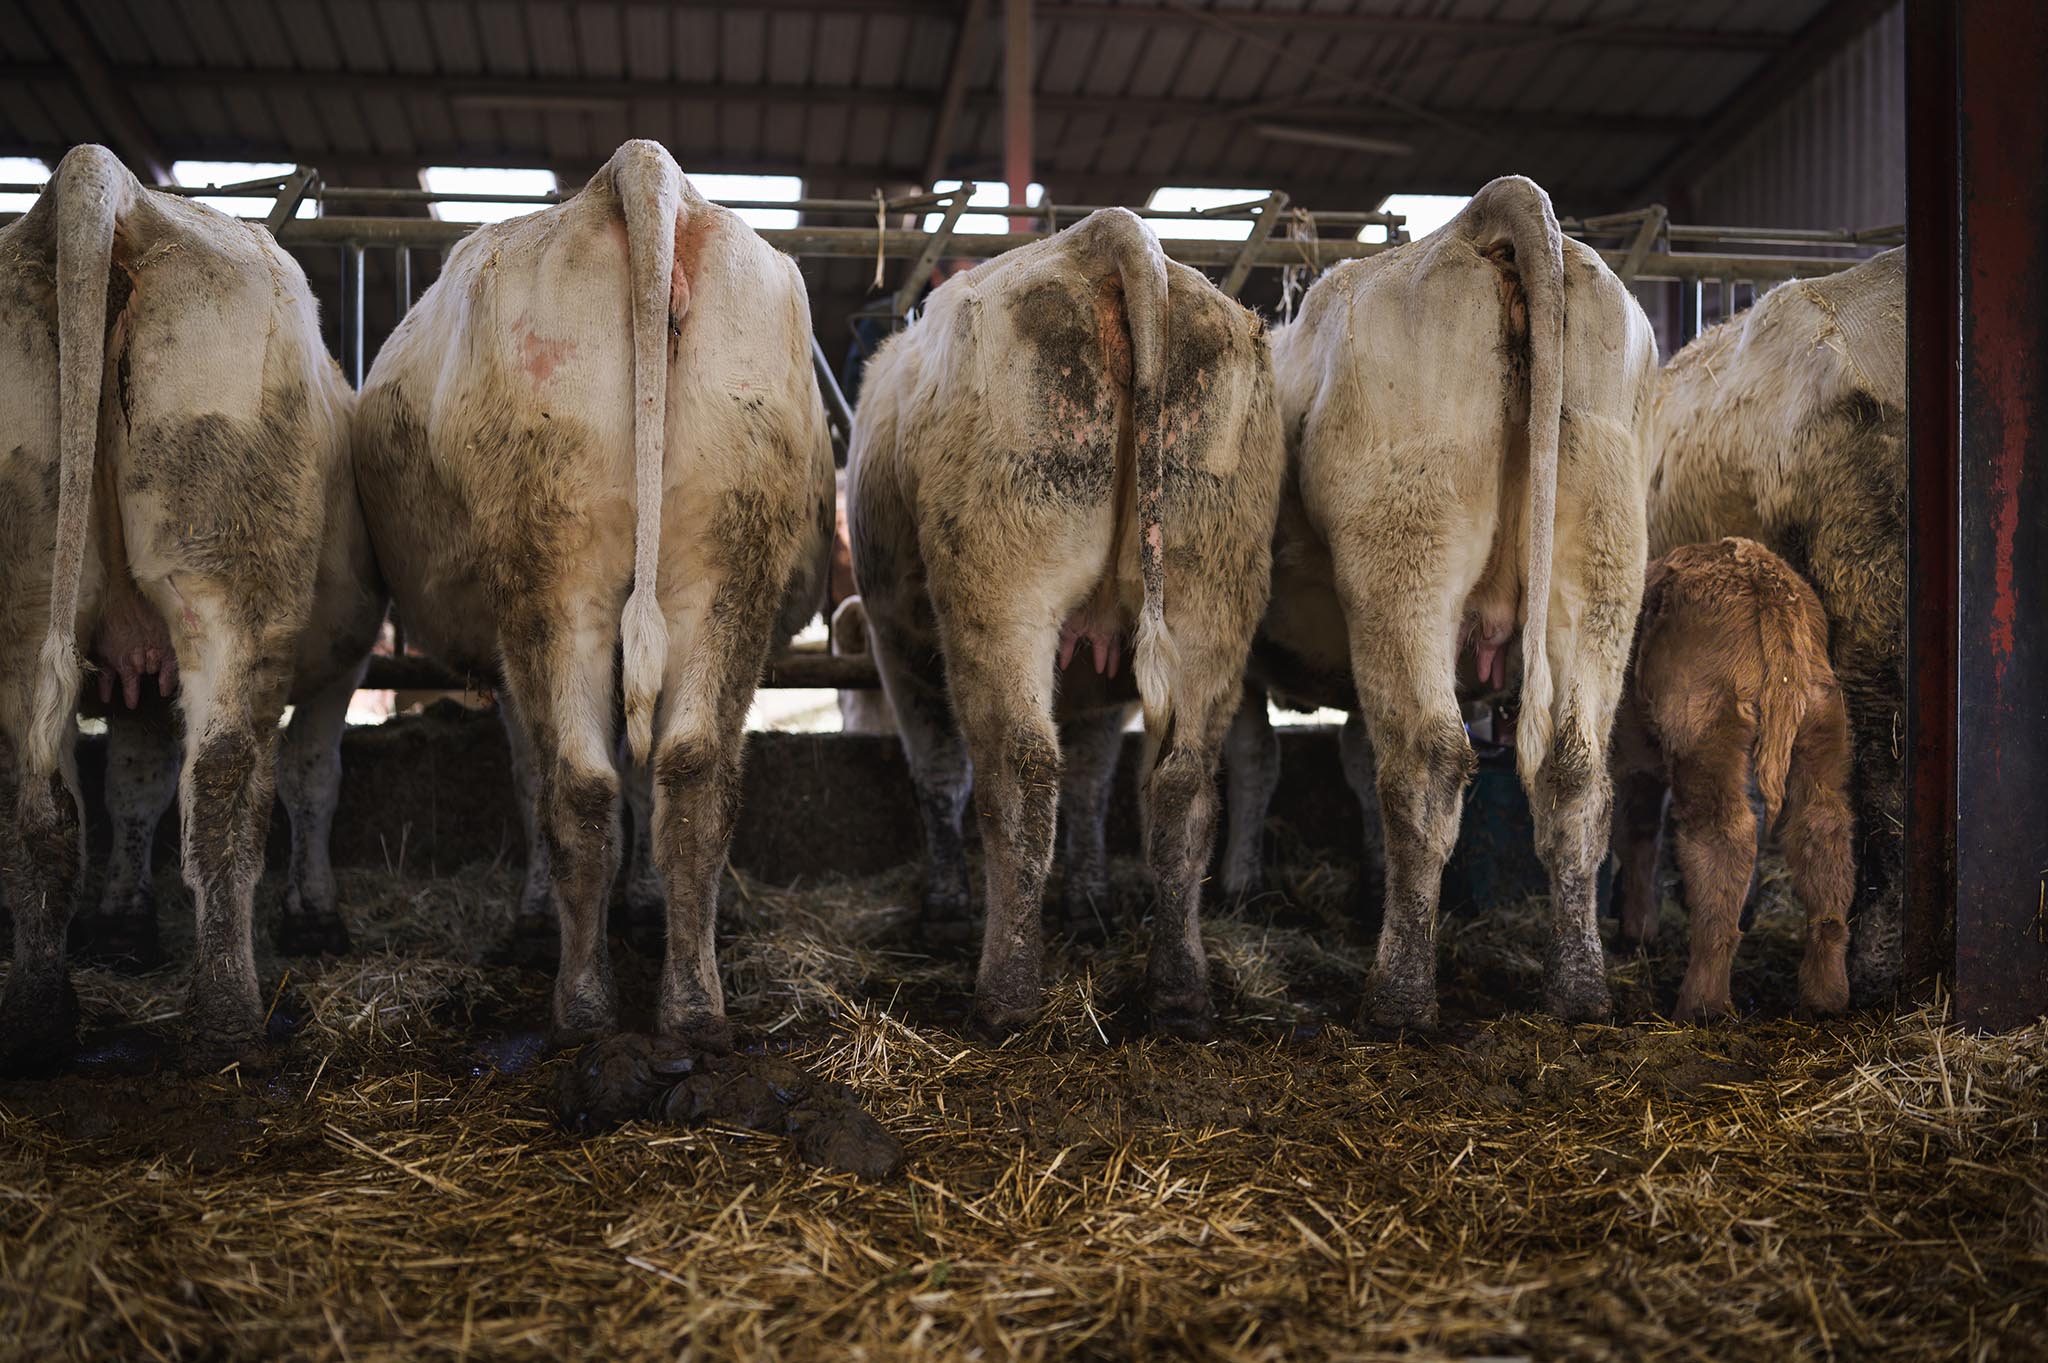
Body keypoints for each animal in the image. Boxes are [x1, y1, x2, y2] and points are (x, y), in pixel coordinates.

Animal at [0, 144, 381, 1070]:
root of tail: (110, 182)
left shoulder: (135, 668)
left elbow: (132, 784)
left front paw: (122, 925)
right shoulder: (344, 661)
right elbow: (313, 778)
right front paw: (316, 918)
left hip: (26, 582)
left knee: (40, 797)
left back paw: (38, 1013)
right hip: (230, 589)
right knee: (222, 791)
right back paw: (231, 1015)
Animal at [352, 140, 832, 1048]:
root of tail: (640, 168)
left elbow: (531, 770)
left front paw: (541, 912)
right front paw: (639, 906)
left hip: (550, 570)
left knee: (576, 784)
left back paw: (580, 1003)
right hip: (729, 560)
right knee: (691, 772)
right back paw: (692, 1005)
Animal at [848, 208, 1283, 1037]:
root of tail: (1108, 238)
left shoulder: (897, 641)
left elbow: (940, 770)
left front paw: (946, 910)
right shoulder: (1100, 677)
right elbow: (1091, 776)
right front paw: (1088, 903)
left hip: (998, 592)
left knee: (1018, 769)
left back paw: (1005, 992)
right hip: (1213, 591)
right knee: (1181, 783)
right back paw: (1180, 992)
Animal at [1222, 176, 1659, 1029]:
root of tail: (1476, 221)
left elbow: (1259, 761)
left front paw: (1243, 885)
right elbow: (1353, 758)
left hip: (1402, 556)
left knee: (1426, 760)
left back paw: (1397, 995)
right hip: (1604, 555)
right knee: (1575, 769)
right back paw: (1579, 988)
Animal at [1611, 538, 1854, 1020]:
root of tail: (1764, 580)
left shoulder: (1631, 765)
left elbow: (1636, 837)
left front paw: (1636, 930)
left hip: (1705, 738)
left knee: (1722, 839)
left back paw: (1700, 1002)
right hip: (1819, 729)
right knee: (1822, 829)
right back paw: (1825, 995)